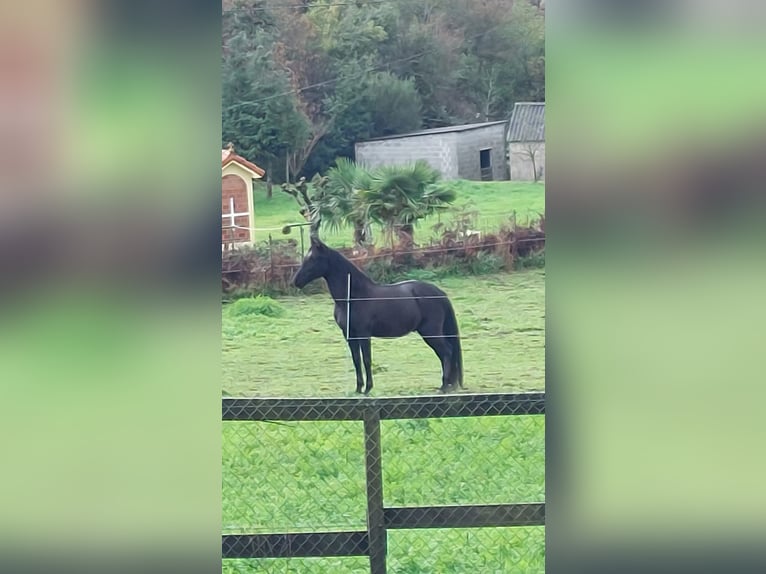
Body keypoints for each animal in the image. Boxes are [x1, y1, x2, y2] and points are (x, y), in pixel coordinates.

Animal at [292, 234, 464, 394]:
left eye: (313, 258)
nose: (295, 281)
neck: (353, 296)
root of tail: (439, 293)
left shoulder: (363, 334)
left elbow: (367, 359)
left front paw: (368, 388)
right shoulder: (349, 335)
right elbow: (356, 360)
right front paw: (358, 389)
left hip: (430, 332)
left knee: (447, 352)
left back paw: (444, 386)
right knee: (444, 354)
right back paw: (449, 384)